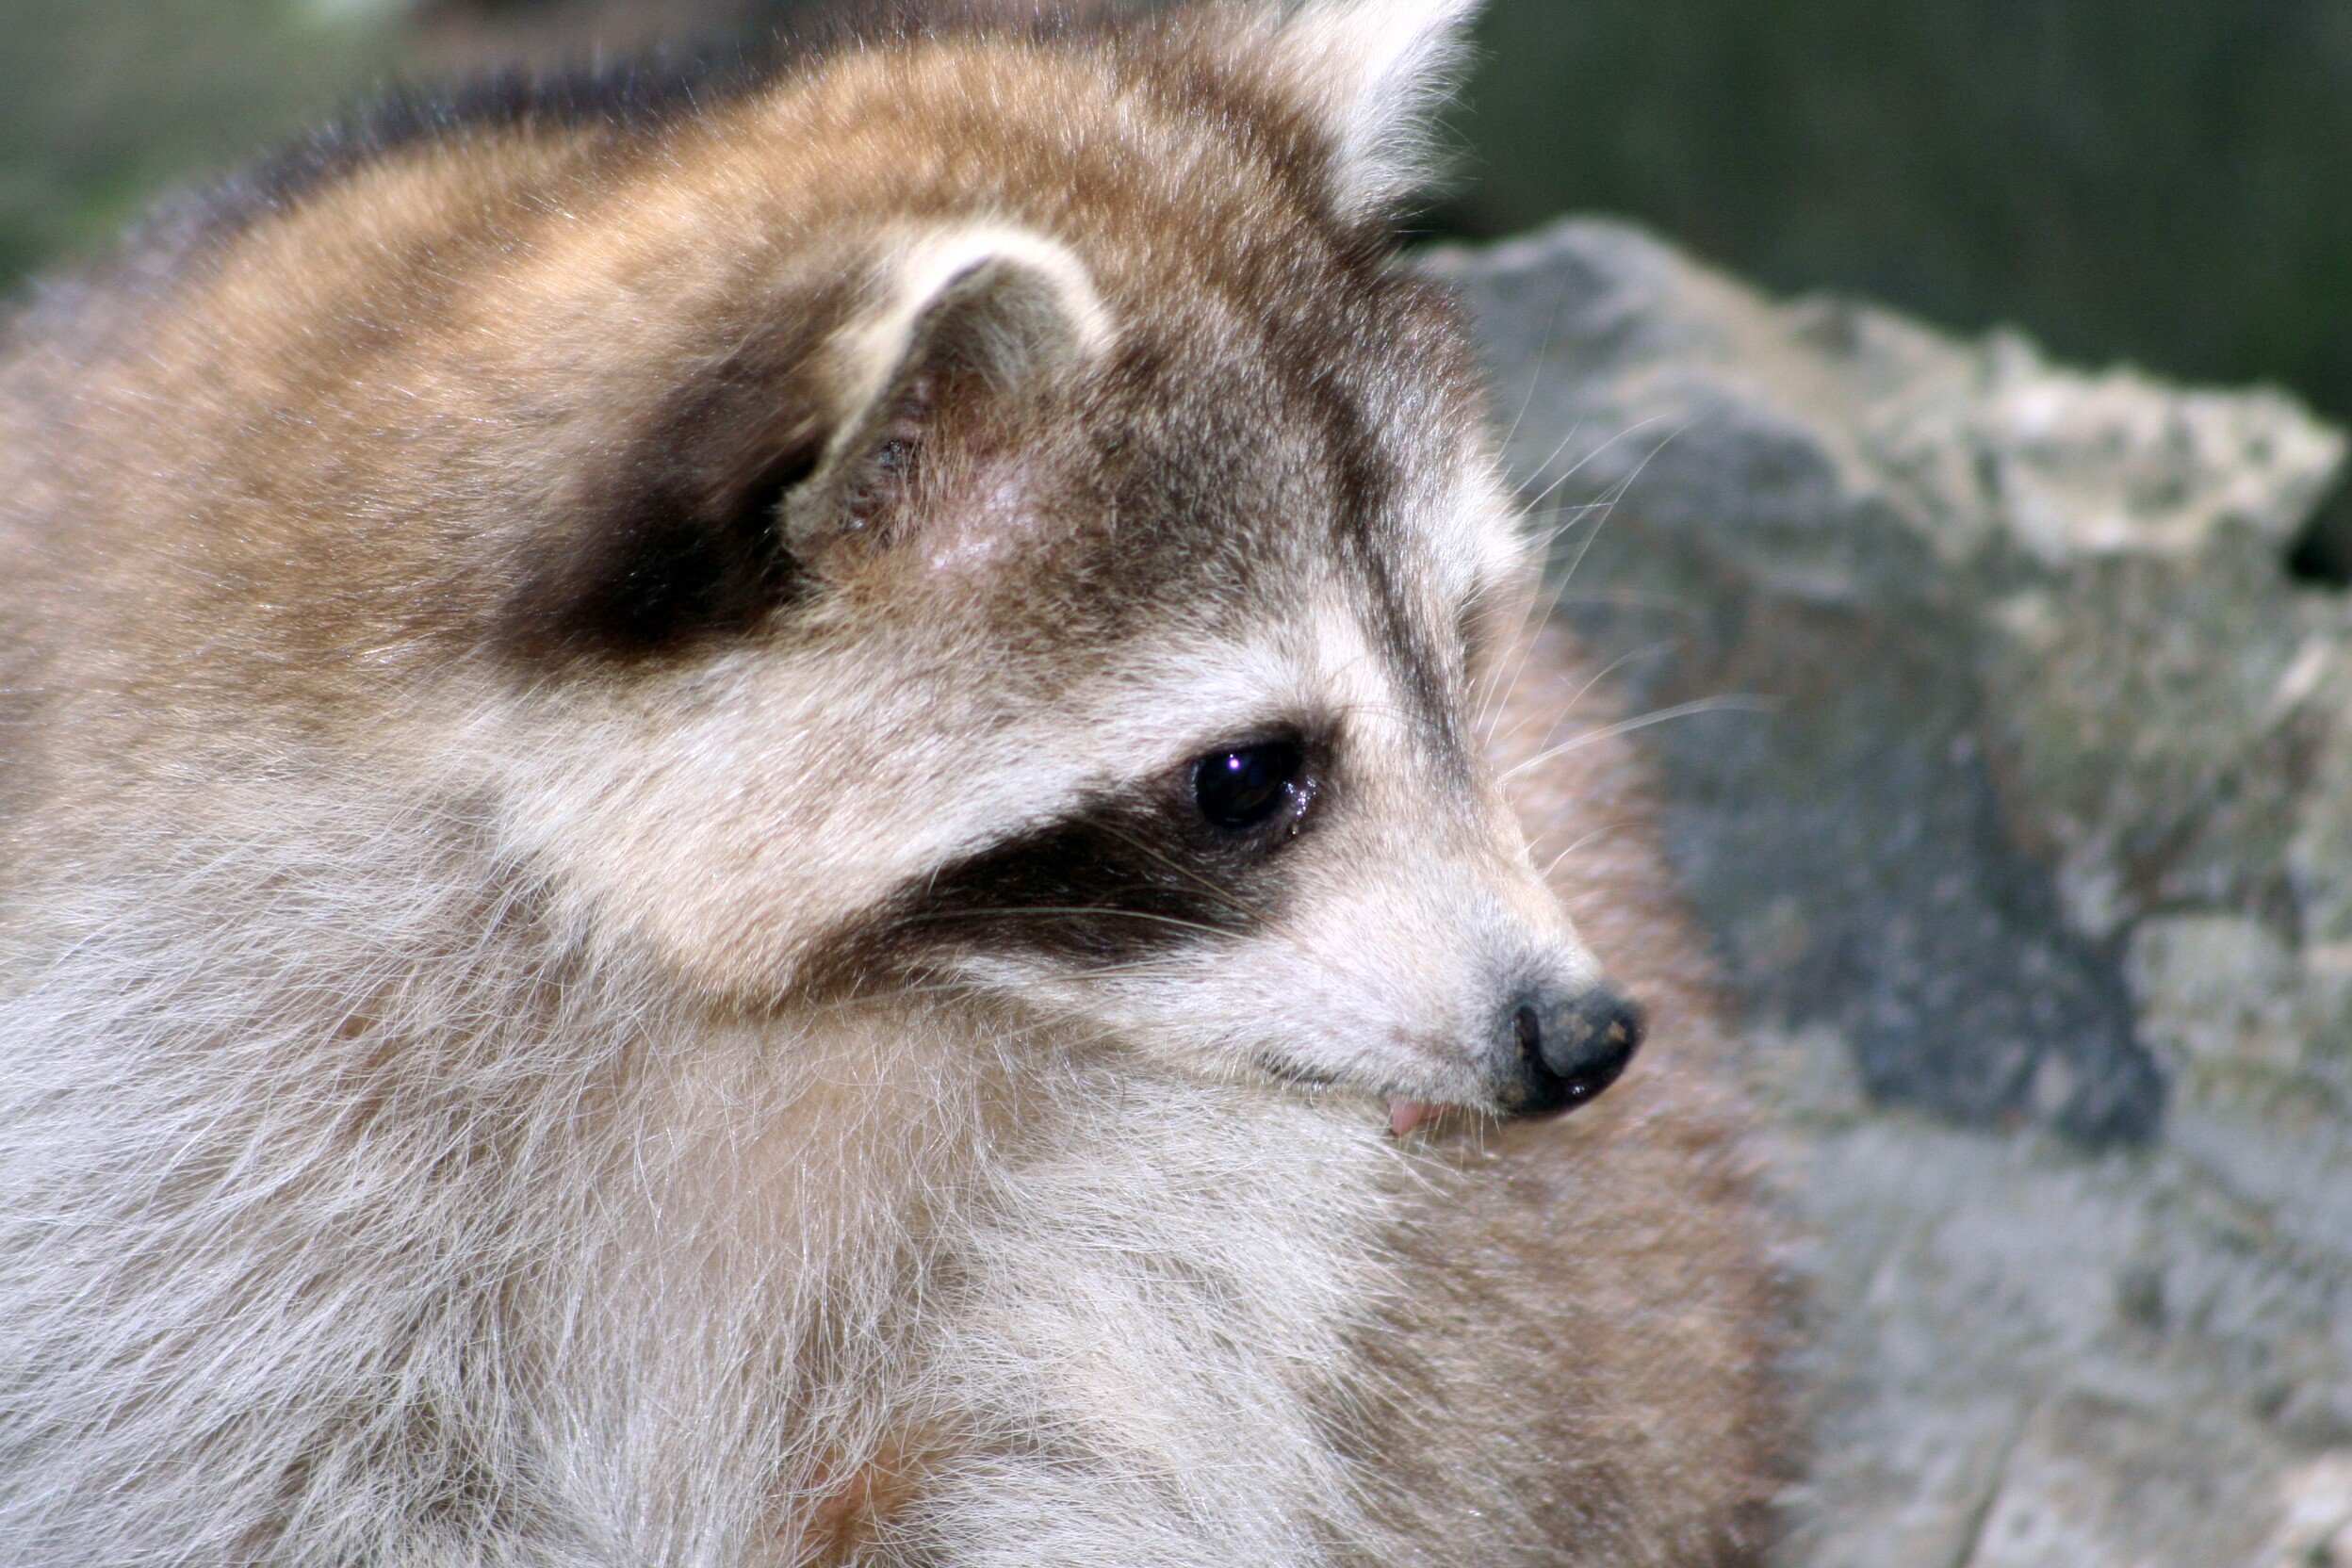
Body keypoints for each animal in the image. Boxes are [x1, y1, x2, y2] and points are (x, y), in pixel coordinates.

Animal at [0, 0, 1777, 1560]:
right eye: (1246, 777)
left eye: (1466, 638)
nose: (1583, 1036)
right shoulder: (187, 1092)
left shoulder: (1174, 1216)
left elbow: (1094, 1450)